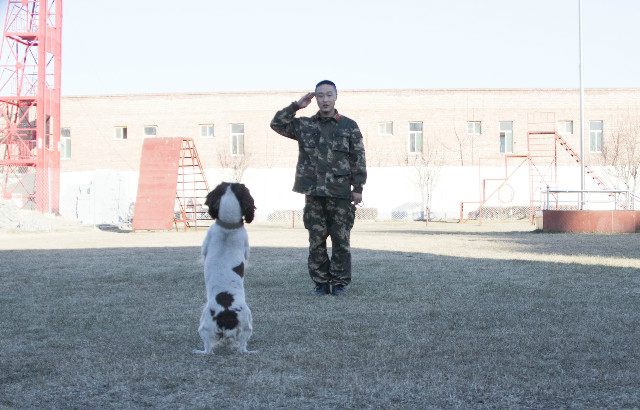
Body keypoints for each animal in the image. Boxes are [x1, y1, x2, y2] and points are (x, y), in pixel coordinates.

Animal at [192, 181, 258, 354]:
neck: (228, 226)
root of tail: (227, 314)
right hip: (247, 326)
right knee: (241, 346)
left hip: (204, 326)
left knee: (209, 350)